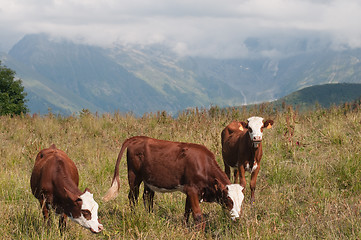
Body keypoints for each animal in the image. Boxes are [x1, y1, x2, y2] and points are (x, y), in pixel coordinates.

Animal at [102, 136, 243, 230]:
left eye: (241, 200)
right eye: (228, 199)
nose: (237, 218)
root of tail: (138, 138)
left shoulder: (190, 192)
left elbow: (187, 211)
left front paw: (185, 227)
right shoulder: (192, 190)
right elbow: (198, 216)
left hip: (149, 179)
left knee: (147, 196)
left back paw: (150, 216)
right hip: (134, 175)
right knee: (133, 196)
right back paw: (134, 215)